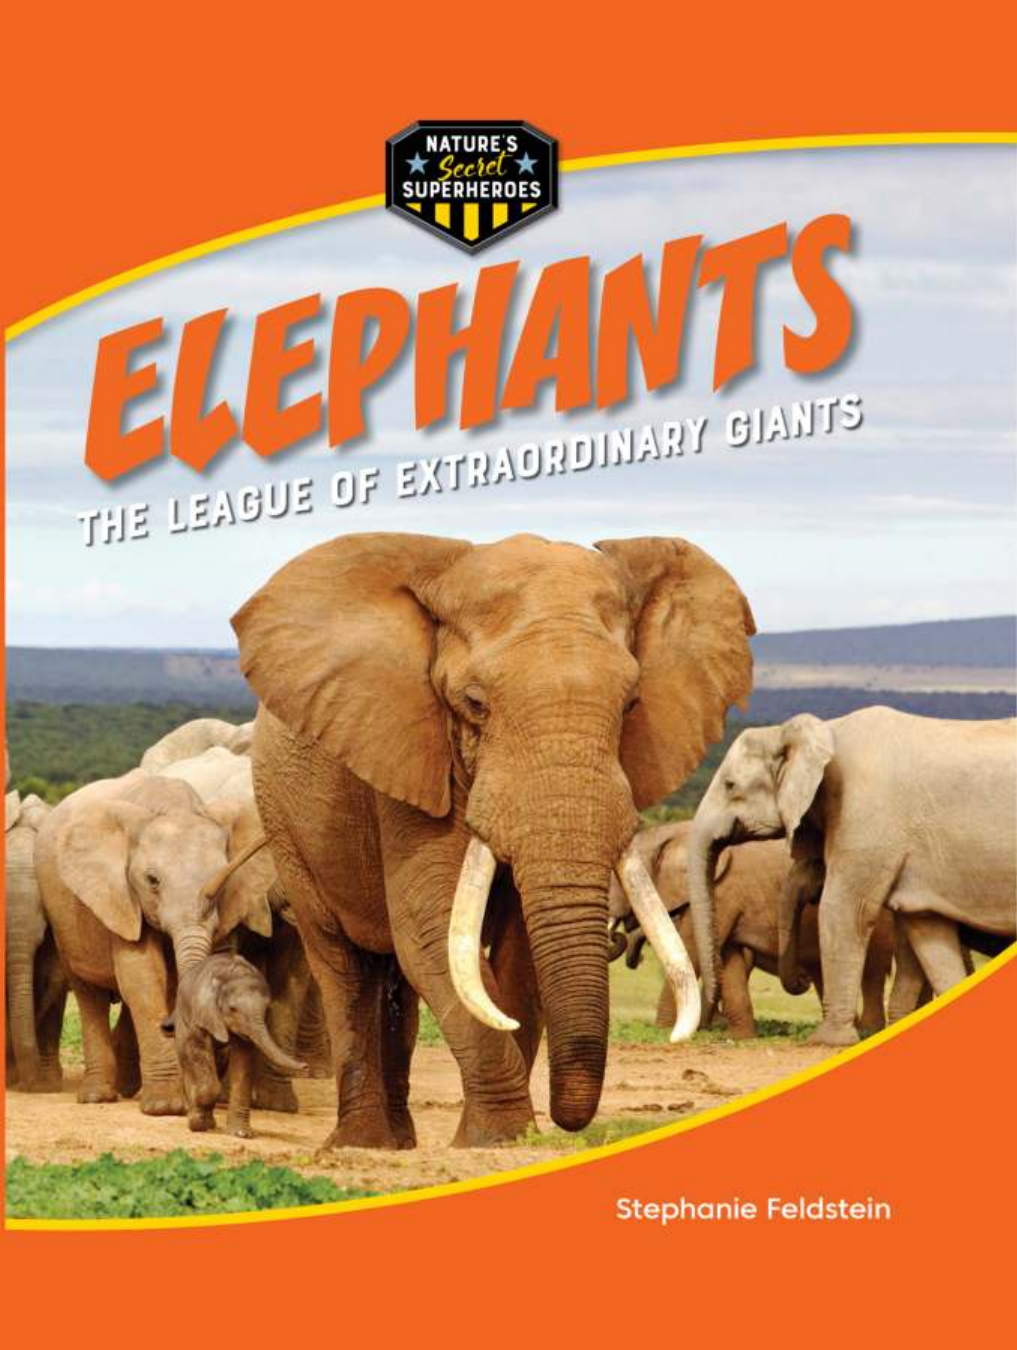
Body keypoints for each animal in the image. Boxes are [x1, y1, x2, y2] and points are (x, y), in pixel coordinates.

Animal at [36, 771, 251, 1113]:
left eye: (224, 879)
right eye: (152, 881)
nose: (170, 1026)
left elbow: (170, 980)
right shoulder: (122, 894)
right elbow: (143, 976)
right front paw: (165, 1108)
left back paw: (125, 1088)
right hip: (63, 922)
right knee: (88, 993)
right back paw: (97, 1097)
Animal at [164, 952, 307, 1137]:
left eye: (266, 1010)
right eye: (232, 1009)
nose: (305, 1065)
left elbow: (243, 1060)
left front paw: (242, 1134)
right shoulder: (201, 1012)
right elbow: (197, 1050)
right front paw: (197, 1124)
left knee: (219, 1062)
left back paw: (210, 1121)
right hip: (182, 1016)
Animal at [231, 531, 755, 1147]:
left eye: (630, 705)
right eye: (474, 704)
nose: (565, 1121)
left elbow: (518, 950)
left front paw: (502, 1138)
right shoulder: (409, 755)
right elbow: (431, 926)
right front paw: (501, 1138)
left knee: (395, 979)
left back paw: (400, 1141)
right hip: (285, 823)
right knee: (344, 965)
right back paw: (361, 1143)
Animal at [610, 825, 893, 1037]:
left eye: (620, 880)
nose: (619, 935)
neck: (674, 832)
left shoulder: (720, 890)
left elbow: (692, 951)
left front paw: (664, 1030)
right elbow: (728, 957)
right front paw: (739, 1037)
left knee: (872, 971)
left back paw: (867, 1031)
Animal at [686, 707, 1017, 1046]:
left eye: (730, 785)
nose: (802, 980)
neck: (821, 732)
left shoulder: (864, 819)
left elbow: (844, 911)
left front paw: (827, 1041)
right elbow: (927, 931)